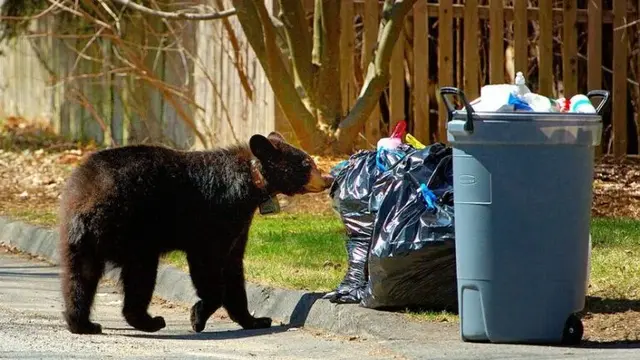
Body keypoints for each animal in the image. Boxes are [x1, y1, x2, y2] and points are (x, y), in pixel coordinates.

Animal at [58, 132, 336, 334]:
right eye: (306, 163)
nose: (328, 179)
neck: (250, 180)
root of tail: (87, 200)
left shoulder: (239, 225)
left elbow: (234, 268)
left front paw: (255, 320)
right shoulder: (216, 216)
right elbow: (209, 264)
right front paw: (198, 316)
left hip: (78, 241)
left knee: (79, 278)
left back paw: (83, 324)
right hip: (133, 231)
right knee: (140, 273)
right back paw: (150, 321)